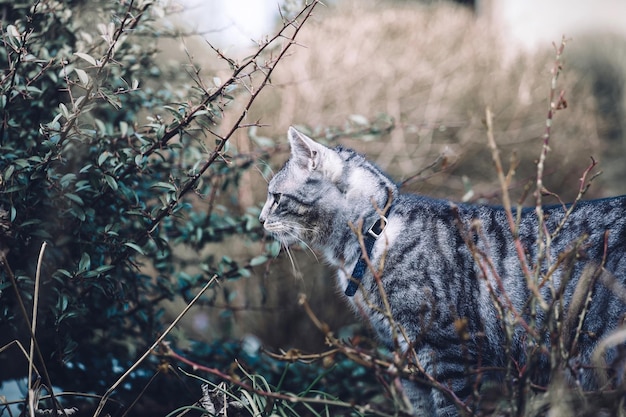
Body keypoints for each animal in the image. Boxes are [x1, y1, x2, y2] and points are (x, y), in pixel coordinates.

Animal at [258, 127, 624, 416]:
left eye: (276, 197)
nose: (260, 220)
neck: (372, 238)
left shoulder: (447, 352)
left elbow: (450, 407)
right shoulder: (405, 357)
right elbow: (421, 409)